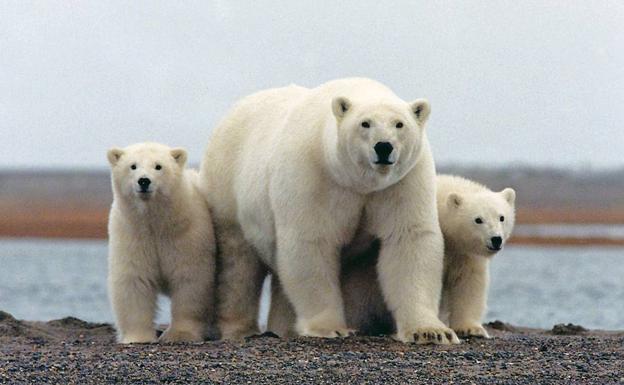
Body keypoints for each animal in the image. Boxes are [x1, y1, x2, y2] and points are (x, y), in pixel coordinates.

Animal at [200, 77, 458, 342]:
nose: (384, 147)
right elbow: (311, 242)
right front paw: (330, 327)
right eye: (365, 123)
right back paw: (240, 328)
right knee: (238, 264)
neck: (358, 182)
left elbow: (408, 239)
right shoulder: (314, 175)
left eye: (399, 124)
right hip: (228, 188)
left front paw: (431, 332)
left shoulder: (402, 182)